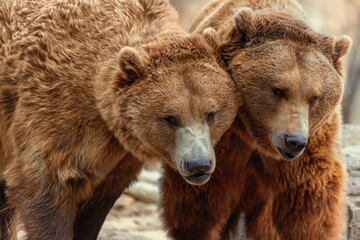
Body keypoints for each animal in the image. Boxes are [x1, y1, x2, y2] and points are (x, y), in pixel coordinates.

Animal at [160, 0, 352, 240]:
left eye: (314, 97)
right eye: (278, 90)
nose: (294, 141)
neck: (257, 136)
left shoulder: (313, 141)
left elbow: (308, 200)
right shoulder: (224, 135)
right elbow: (202, 199)